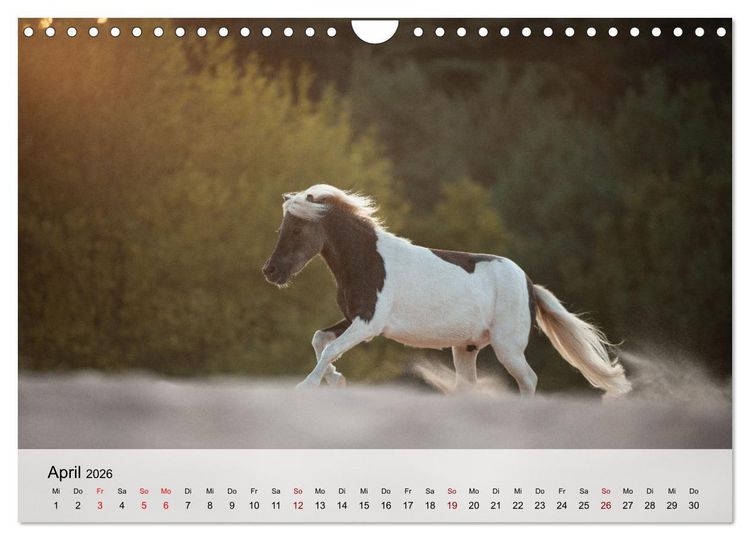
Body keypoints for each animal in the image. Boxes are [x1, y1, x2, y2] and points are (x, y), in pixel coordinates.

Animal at [262, 184, 631, 397]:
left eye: (297, 230)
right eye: (282, 228)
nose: (271, 272)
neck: (367, 260)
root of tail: (528, 283)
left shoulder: (369, 324)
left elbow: (329, 348)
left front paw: (307, 386)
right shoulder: (355, 319)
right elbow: (320, 340)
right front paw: (336, 381)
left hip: (507, 347)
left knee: (528, 380)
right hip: (466, 349)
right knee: (468, 385)